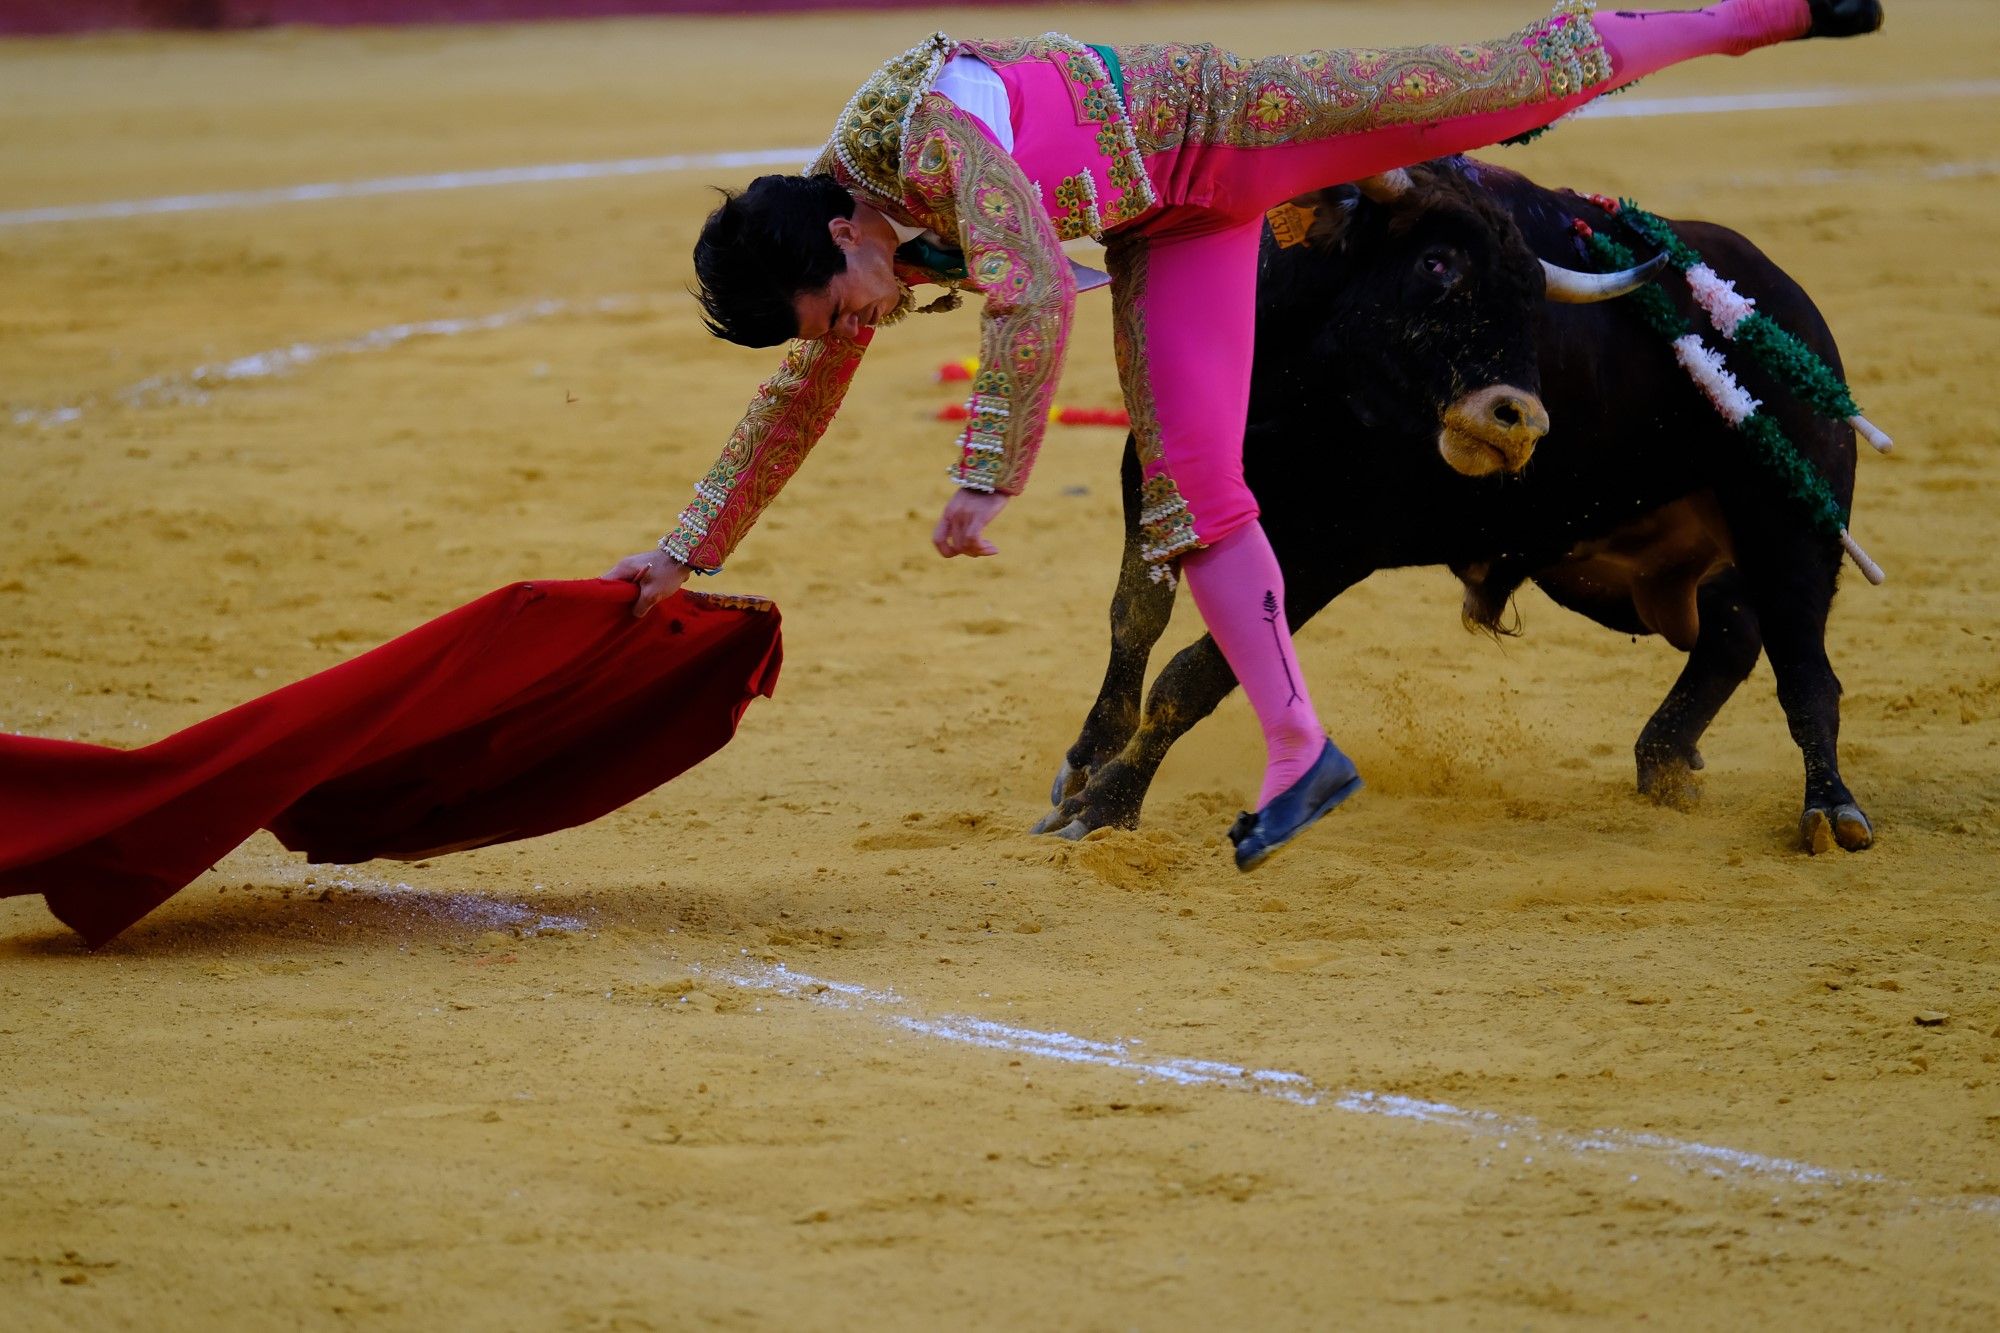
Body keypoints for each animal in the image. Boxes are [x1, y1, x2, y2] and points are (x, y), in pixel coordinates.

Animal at [1040, 158, 1864, 852]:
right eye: (1436, 262)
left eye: (1532, 300)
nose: (1522, 421)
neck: (1294, 379)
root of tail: (1792, 309)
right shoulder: (1150, 477)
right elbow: (1135, 617)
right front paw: (1086, 762)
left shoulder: (1331, 548)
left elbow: (1199, 668)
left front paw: (1104, 807)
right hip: (1611, 565)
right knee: (1732, 629)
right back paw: (1664, 760)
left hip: (1791, 524)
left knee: (1805, 667)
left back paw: (1831, 812)